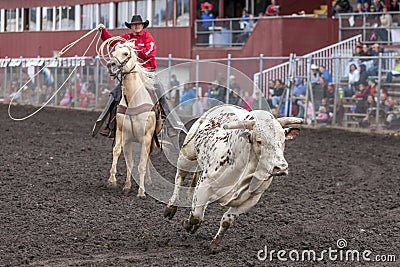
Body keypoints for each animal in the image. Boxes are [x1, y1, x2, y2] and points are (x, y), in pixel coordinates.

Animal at [107, 40, 162, 198]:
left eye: (126, 53)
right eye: (113, 53)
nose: (111, 64)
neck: (133, 100)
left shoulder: (146, 137)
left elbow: (142, 164)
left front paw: (141, 191)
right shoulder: (123, 133)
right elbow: (120, 154)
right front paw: (117, 182)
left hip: (152, 141)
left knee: (147, 159)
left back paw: (148, 181)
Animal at [164, 105, 302, 253]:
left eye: (283, 141)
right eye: (259, 141)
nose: (281, 167)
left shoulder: (250, 200)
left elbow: (226, 221)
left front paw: (215, 244)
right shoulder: (204, 185)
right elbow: (196, 216)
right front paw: (188, 224)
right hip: (186, 155)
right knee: (179, 178)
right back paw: (171, 207)